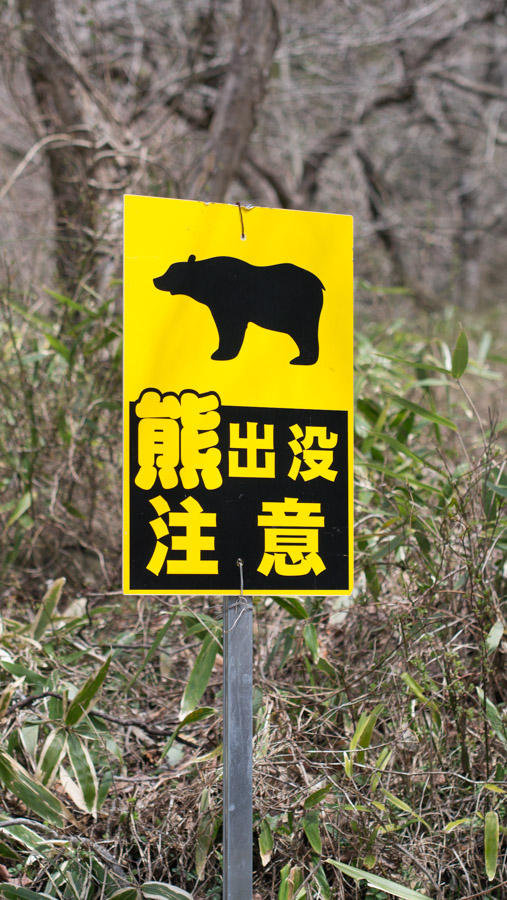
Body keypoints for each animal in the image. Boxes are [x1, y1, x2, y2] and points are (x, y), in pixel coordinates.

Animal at [153, 254, 324, 365]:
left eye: (171, 272)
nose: (156, 279)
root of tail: (318, 282)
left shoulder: (229, 302)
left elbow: (231, 328)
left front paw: (221, 354)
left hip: (300, 304)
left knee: (305, 331)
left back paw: (303, 360)